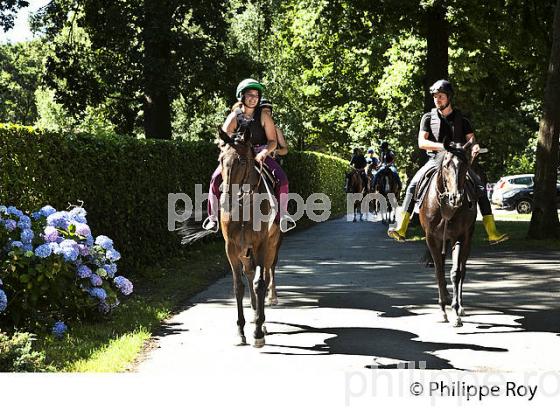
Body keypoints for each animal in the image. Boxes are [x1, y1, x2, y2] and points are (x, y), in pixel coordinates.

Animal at [420, 140, 476, 326]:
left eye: (465, 165)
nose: (456, 198)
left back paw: (461, 306)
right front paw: (443, 309)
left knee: (462, 269)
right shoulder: (432, 238)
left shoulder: (459, 237)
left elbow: (456, 272)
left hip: (466, 237)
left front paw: (456, 311)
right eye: (446, 165)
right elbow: (439, 272)